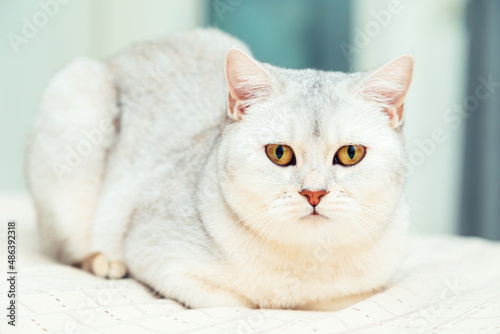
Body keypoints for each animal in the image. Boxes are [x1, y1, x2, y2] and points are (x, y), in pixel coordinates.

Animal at [25, 28, 412, 310]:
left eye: (350, 154)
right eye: (279, 153)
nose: (314, 193)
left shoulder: (370, 287)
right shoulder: (160, 256)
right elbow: (234, 304)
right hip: (74, 105)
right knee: (69, 249)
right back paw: (104, 262)